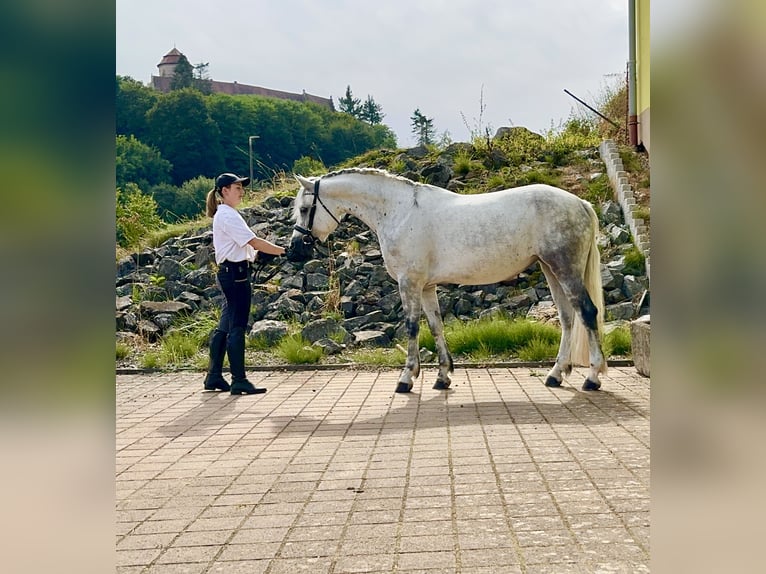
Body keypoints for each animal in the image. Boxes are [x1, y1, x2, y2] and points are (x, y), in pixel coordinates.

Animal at [284, 169, 608, 394]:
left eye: (304, 209)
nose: (295, 249)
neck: (399, 211)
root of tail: (580, 203)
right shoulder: (427, 287)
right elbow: (436, 326)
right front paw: (442, 377)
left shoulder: (409, 283)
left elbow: (412, 327)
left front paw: (407, 378)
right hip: (551, 270)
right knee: (567, 318)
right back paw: (555, 374)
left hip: (565, 269)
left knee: (586, 312)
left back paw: (592, 378)